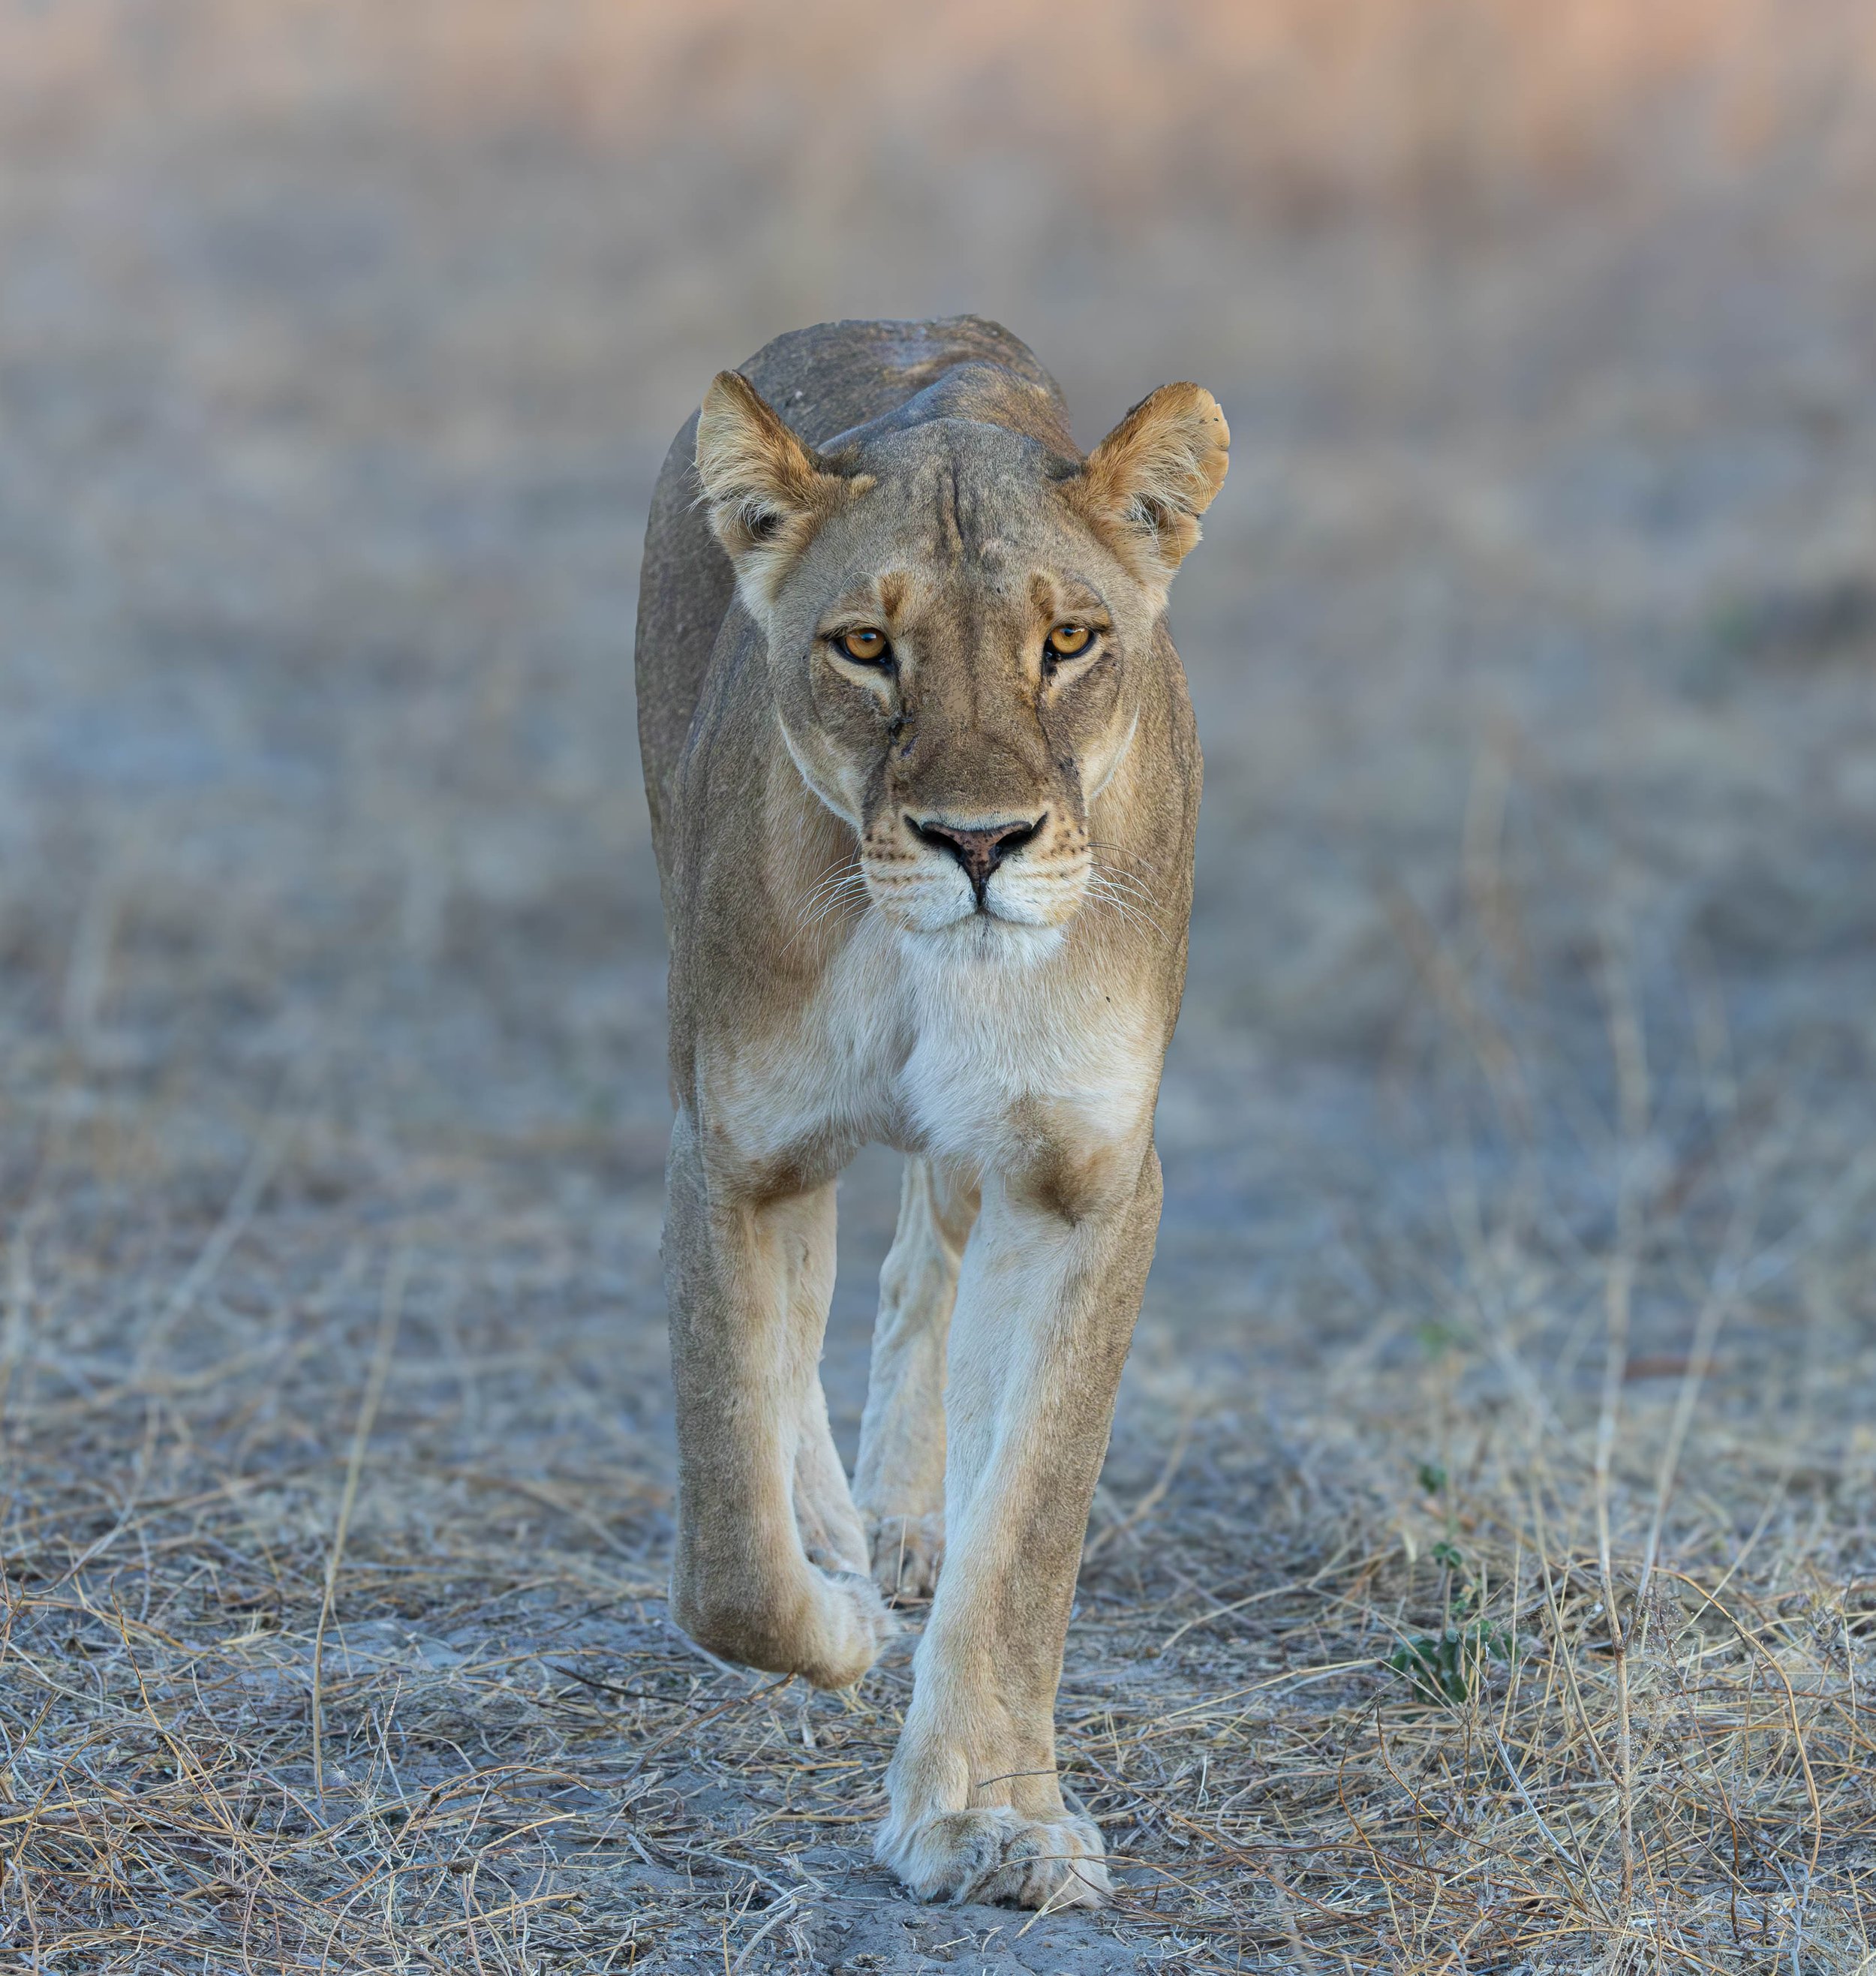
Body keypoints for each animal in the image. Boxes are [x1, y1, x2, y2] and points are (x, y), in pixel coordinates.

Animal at [633, 316, 1226, 1909]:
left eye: (1068, 641)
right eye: (863, 645)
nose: (978, 844)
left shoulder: (1082, 1178)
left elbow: (1024, 1537)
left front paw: (990, 1819)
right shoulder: (733, 1148)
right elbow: (731, 1546)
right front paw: (836, 1622)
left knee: (921, 1269)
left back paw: (901, 1524)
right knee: (806, 1328)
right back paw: (849, 1541)